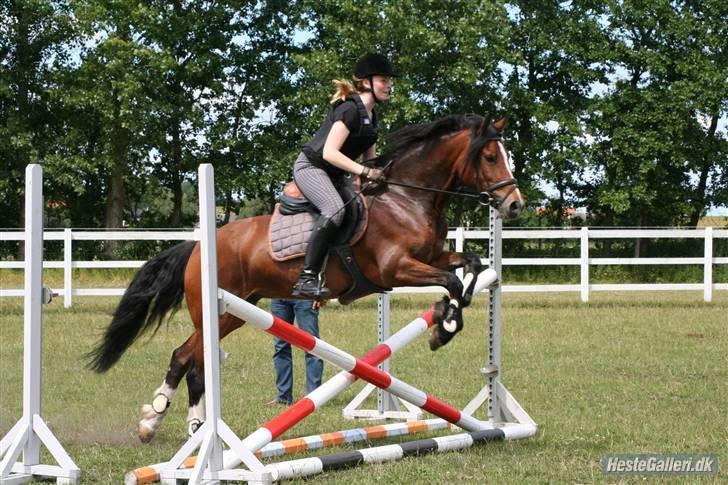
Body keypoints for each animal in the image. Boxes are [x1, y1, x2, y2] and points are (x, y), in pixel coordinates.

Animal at [86, 114, 524, 442]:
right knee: (191, 360)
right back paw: (177, 425)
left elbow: (470, 267)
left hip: (234, 312)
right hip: (217, 309)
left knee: (186, 356)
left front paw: (446, 319)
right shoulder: (394, 268)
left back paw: (163, 423)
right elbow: (452, 282)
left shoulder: (432, 256)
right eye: (489, 156)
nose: (515, 205)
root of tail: (199, 246)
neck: (407, 197)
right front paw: (443, 329)